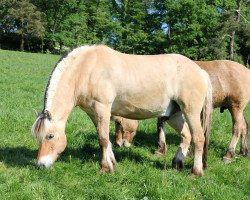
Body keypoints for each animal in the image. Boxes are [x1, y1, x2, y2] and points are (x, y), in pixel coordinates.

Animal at [30, 45, 213, 175]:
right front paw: (112, 163)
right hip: (175, 114)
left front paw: (105, 168)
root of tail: (201, 71)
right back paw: (177, 163)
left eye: (50, 136)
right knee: (187, 135)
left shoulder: (102, 108)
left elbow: (103, 139)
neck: (86, 69)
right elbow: (105, 138)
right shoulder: (94, 113)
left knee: (198, 138)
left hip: (191, 112)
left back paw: (196, 172)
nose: (40, 164)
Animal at [116, 60, 250, 168]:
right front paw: (163, 149)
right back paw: (243, 151)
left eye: (119, 124)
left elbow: (161, 124)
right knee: (244, 126)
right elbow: (162, 123)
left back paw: (229, 154)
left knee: (237, 128)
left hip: (235, 107)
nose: (118, 143)